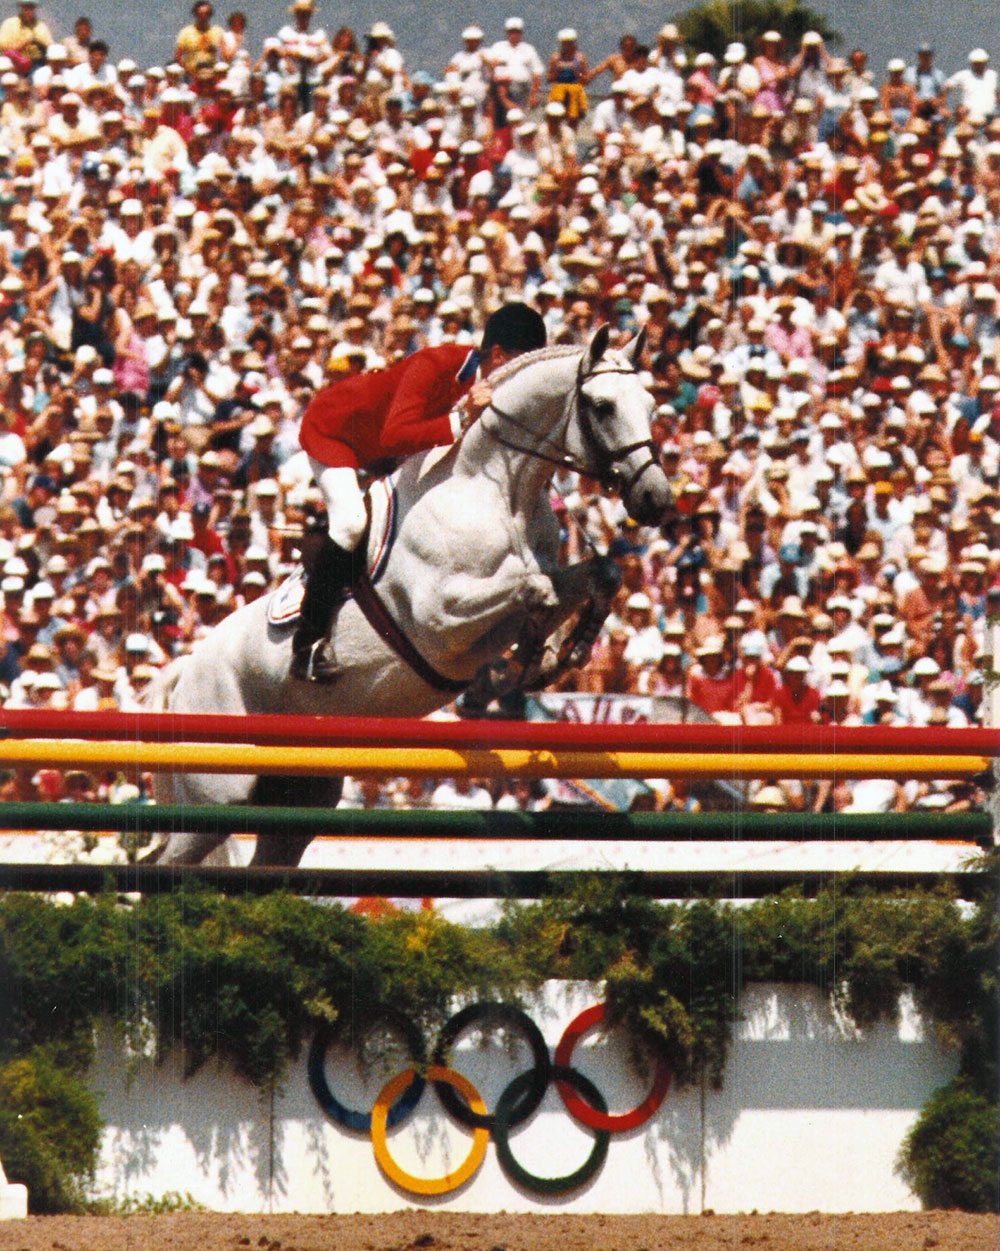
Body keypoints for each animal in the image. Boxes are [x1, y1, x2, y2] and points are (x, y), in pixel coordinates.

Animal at [148, 327, 670, 865]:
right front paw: (518, 665)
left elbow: (599, 574)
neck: (498, 488)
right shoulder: (439, 616)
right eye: (603, 406)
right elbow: (534, 589)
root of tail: (186, 670)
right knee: (166, 861)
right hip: (217, 793)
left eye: (651, 404)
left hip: (300, 794)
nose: (657, 498)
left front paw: (555, 655)